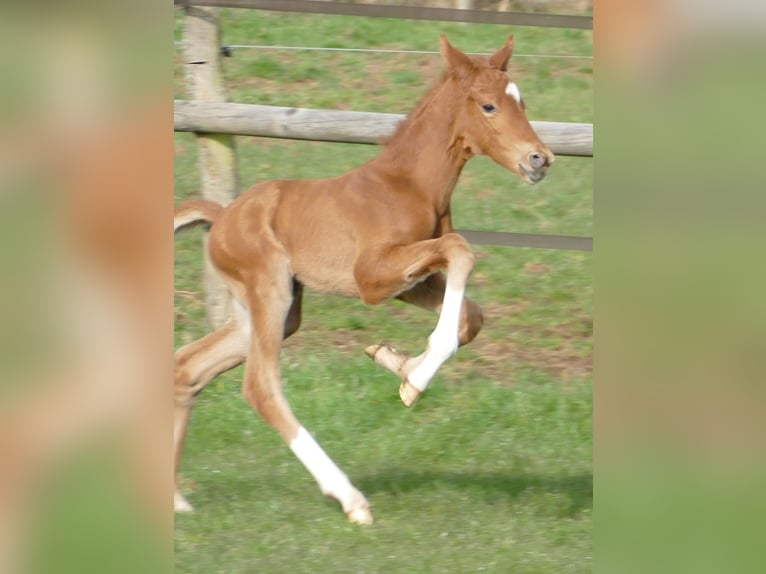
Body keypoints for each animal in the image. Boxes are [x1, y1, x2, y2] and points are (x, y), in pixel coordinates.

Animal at [174, 34, 553, 525]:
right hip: (269, 293)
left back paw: (176, 498)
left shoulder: (411, 283)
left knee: (187, 365)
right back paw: (350, 499)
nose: (539, 159)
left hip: (270, 311)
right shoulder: (371, 278)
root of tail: (221, 217)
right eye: (489, 106)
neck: (409, 185)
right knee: (260, 385)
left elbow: (471, 314)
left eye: (520, 101)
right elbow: (460, 250)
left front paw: (399, 365)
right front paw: (417, 378)